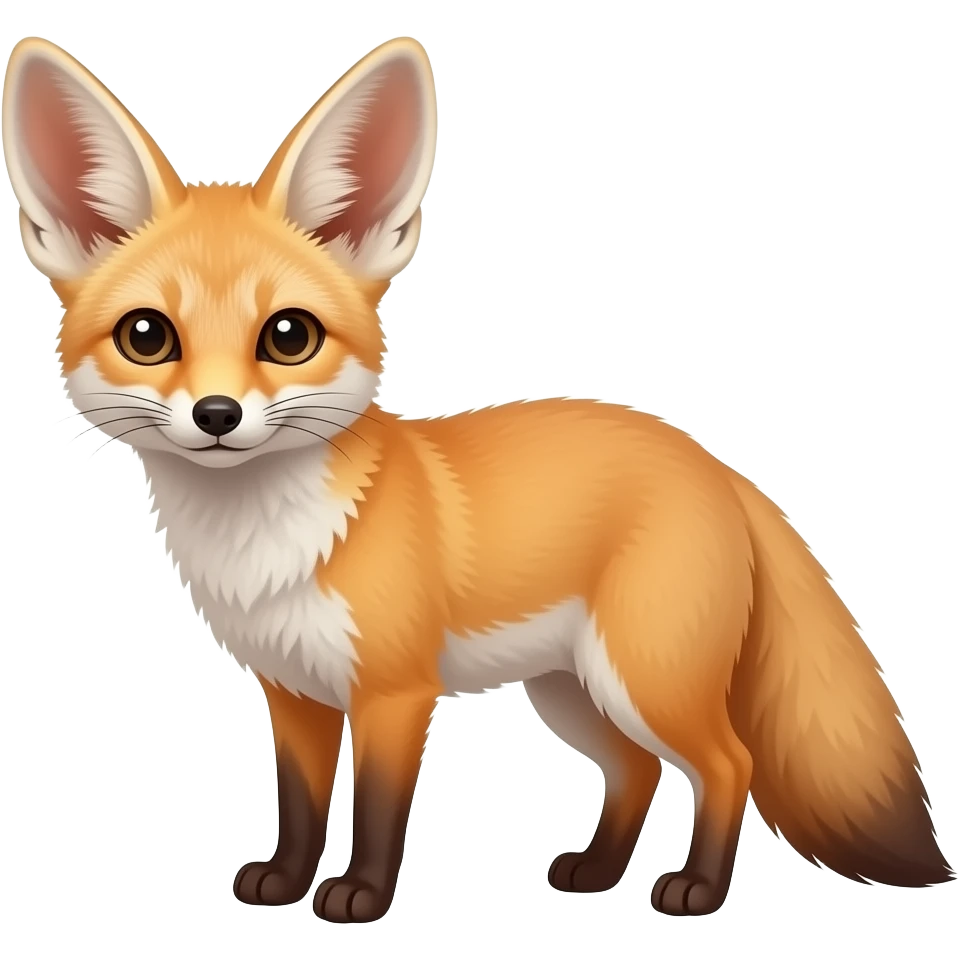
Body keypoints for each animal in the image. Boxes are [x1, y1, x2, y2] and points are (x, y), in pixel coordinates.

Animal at [3, 33, 954, 924]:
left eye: (288, 336)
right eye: (147, 336)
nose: (216, 415)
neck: (270, 545)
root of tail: (714, 463)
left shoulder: (394, 692)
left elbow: (379, 811)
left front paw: (360, 897)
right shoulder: (295, 692)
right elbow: (301, 806)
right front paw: (282, 882)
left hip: (644, 680)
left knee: (729, 764)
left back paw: (697, 890)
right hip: (572, 691)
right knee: (639, 770)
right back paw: (595, 873)